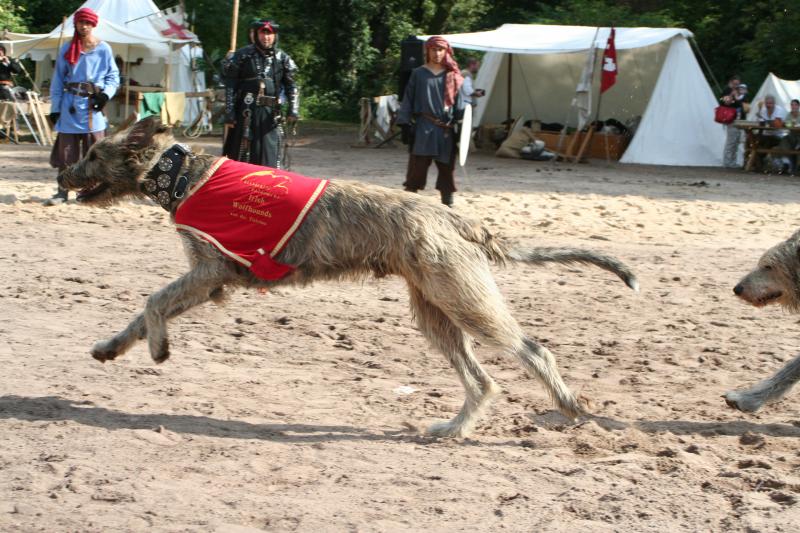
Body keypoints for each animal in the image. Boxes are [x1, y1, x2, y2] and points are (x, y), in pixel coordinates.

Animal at [57, 116, 638, 438]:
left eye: (93, 153)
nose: (60, 172)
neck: (184, 175)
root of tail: (457, 219)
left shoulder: (211, 269)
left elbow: (153, 300)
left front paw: (158, 348)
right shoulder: (209, 278)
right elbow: (142, 312)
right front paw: (113, 347)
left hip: (464, 300)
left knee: (533, 351)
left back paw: (568, 406)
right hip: (435, 311)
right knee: (482, 380)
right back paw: (451, 429)